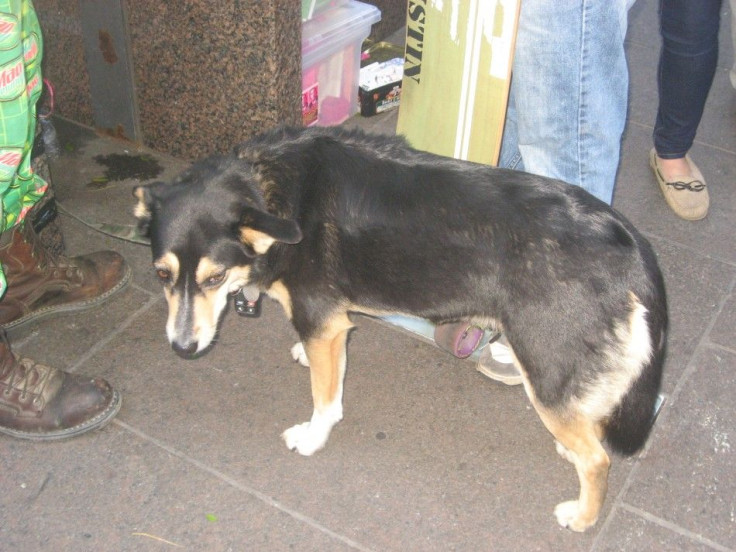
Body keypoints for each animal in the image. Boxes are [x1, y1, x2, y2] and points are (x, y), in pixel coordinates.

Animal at [132, 125, 668, 532]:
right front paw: (304, 356)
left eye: (214, 278)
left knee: (597, 460)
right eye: (160, 274)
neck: (273, 191)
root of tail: (628, 241)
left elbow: (325, 400)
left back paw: (583, 516)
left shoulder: (321, 319)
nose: (182, 348)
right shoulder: (330, 325)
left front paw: (313, 436)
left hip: (547, 369)